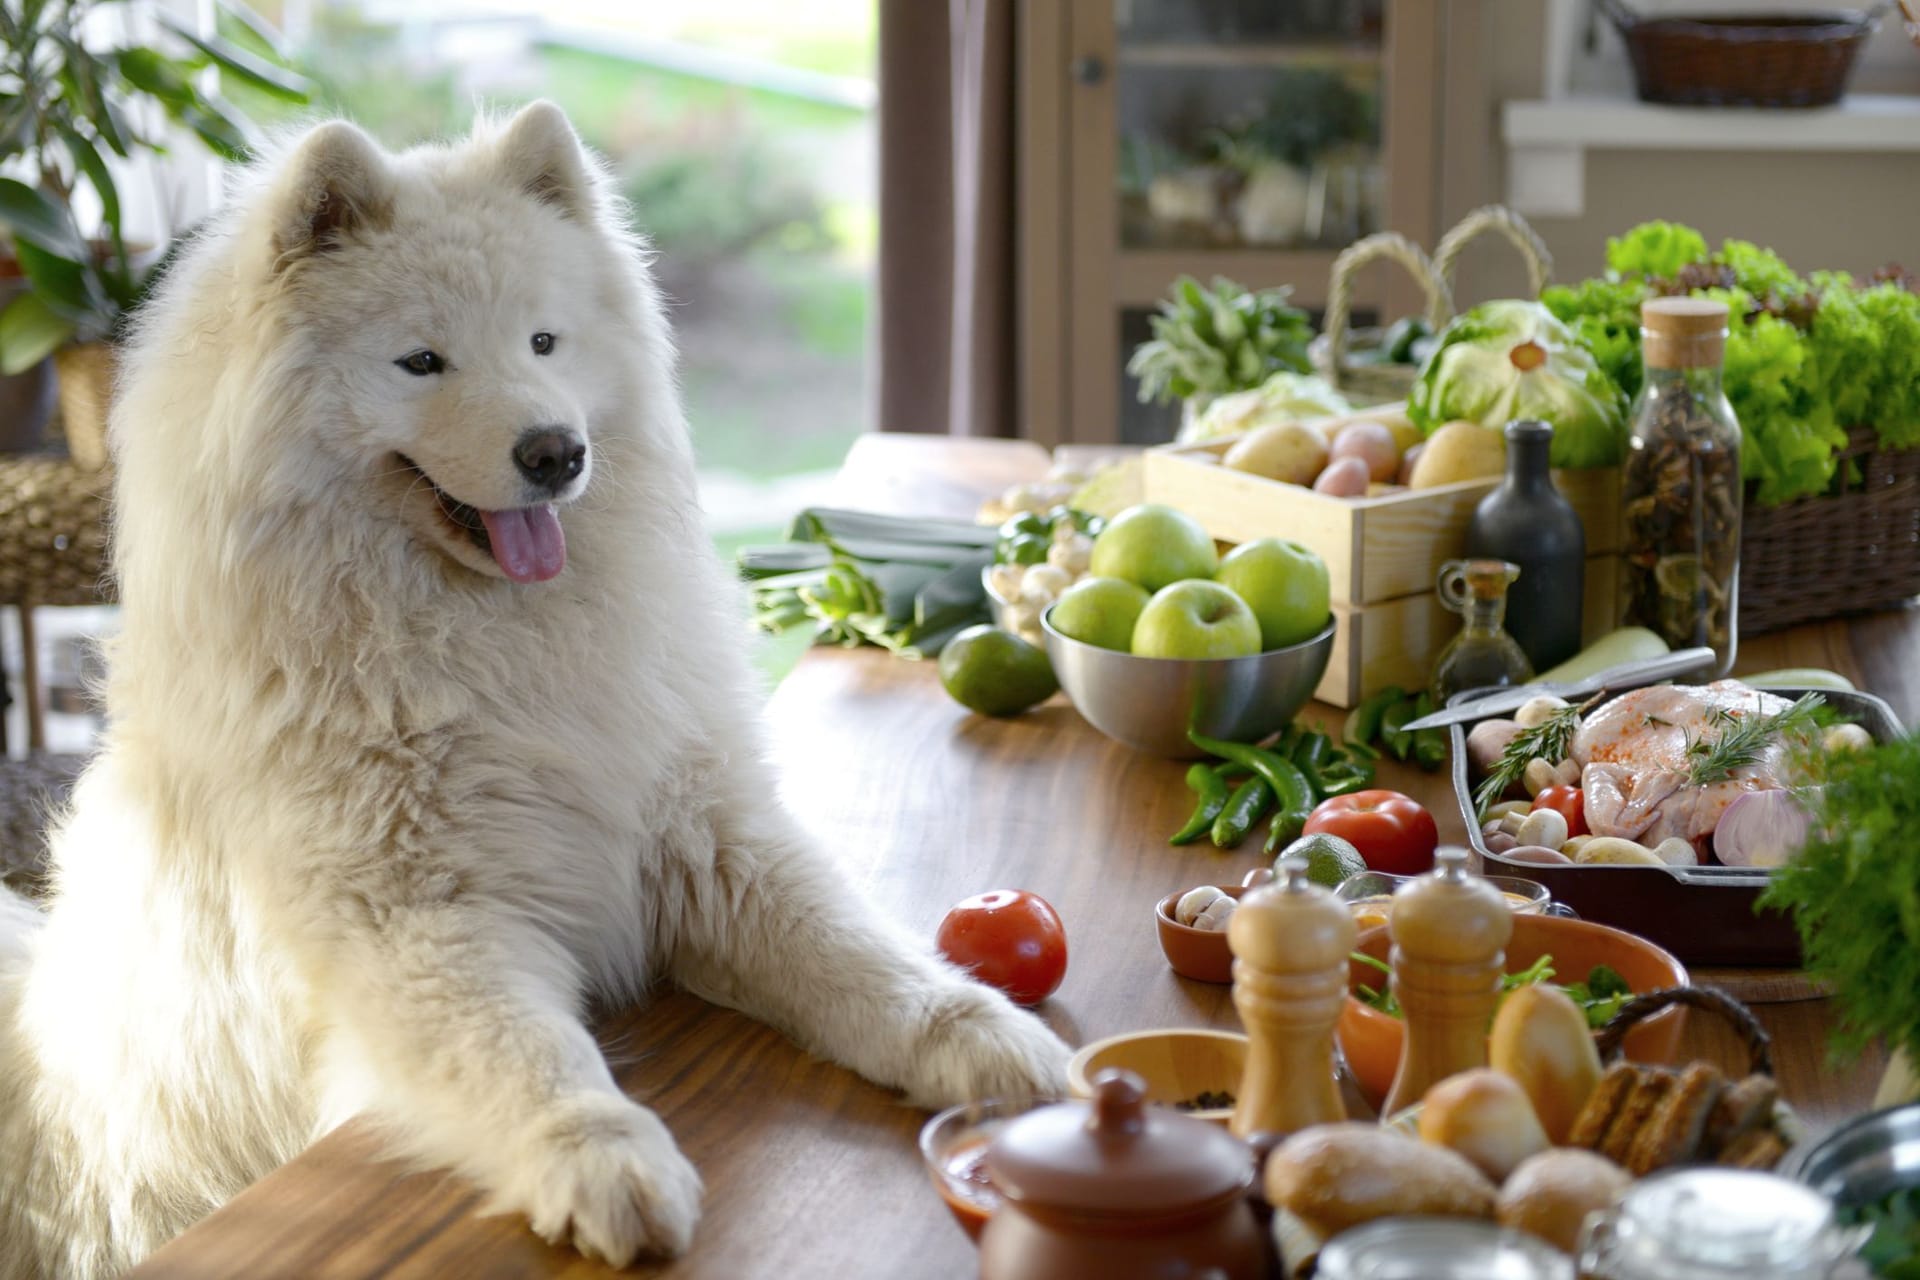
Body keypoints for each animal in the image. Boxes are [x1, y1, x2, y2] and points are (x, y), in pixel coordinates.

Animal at [0, 102, 1075, 1280]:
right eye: (422, 361)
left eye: (544, 343)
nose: (557, 452)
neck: (494, 641)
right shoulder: (419, 918)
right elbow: (530, 1055)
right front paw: (606, 1163)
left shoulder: (706, 836)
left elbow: (857, 951)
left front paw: (981, 1033)